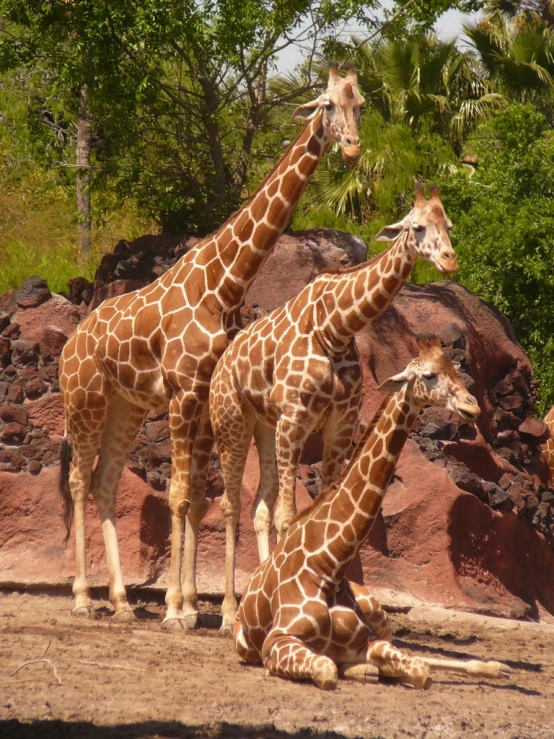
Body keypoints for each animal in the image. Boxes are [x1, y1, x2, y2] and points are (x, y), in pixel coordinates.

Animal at [58, 65, 364, 632]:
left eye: (360, 106)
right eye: (327, 105)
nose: (353, 148)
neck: (223, 287)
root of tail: (69, 345)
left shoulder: (201, 397)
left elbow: (198, 498)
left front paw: (189, 605)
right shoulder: (183, 394)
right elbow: (180, 496)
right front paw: (177, 610)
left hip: (126, 407)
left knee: (105, 483)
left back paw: (121, 601)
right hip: (84, 401)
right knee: (77, 480)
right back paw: (84, 598)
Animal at [209, 182, 454, 632]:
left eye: (447, 224)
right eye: (417, 227)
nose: (449, 259)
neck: (336, 328)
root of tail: (223, 361)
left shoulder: (339, 426)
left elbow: (321, 508)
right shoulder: (296, 420)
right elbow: (290, 517)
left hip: (266, 428)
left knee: (258, 508)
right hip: (232, 421)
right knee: (230, 505)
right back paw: (224, 613)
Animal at [232, 338, 508, 692]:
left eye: (455, 369)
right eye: (429, 375)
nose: (472, 408)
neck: (330, 562)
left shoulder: (367, 641)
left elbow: (420, 671)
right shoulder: (277, 642)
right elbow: (328, 670)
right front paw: (356, 670)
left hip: (378, 611)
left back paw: (496, 667)